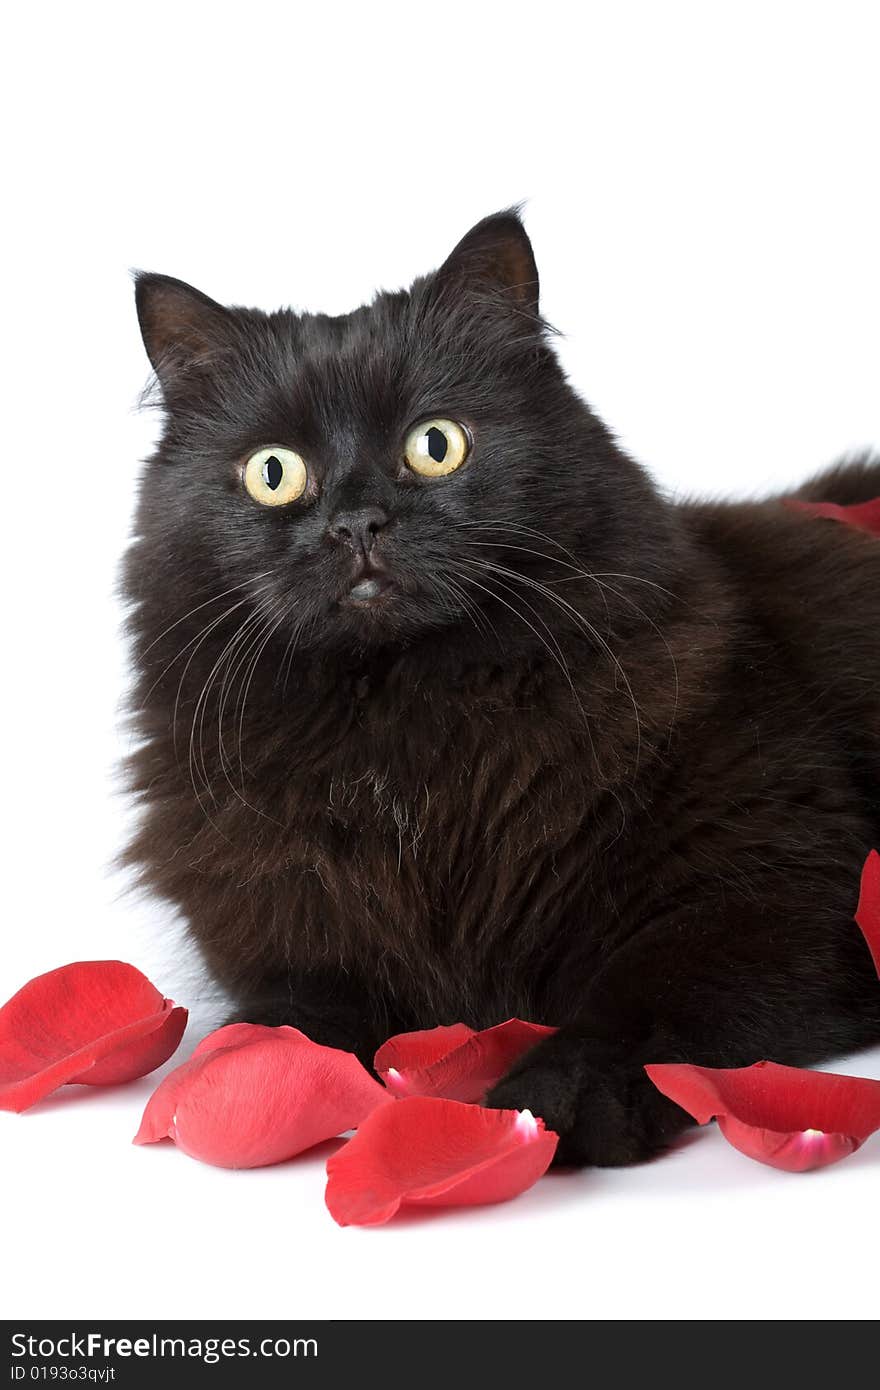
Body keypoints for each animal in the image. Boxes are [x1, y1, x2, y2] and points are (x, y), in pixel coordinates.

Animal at [125, 208, 878, 1162]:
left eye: (436, 446)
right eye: (274, 472)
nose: (356, 522)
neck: (410, 727)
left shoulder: (772, 890)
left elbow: (637, 1013)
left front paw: (541, 1108)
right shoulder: (292, 936)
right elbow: (284, 1028)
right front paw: (237, 1088)